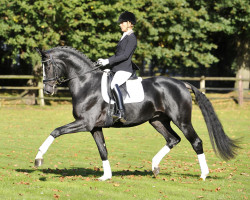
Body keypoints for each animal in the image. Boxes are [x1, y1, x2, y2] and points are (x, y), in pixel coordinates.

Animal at [34, 47, 238, 181]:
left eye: (48, 66)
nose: (48, 90)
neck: (86, 83)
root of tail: (181, 83)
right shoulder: (94, 127)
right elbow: (103, 150)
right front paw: (106, 176)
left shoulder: (85, 122)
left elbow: (56, 131)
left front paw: (38, 159)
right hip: (157, 121)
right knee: (173, 139)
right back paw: (155, 167)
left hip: (182, 121)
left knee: (196, 142)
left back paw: (203, 174)